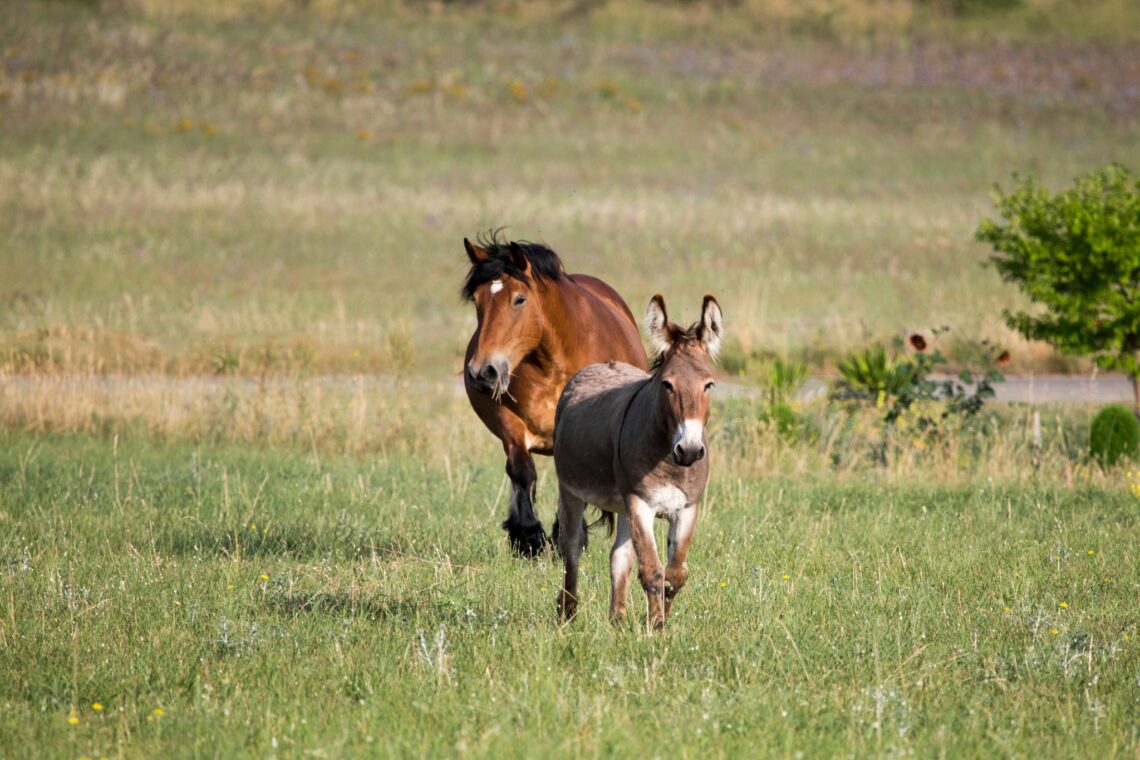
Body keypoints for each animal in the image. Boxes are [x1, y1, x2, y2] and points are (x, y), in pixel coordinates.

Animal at [461, 231, 648, 556]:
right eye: (478, 299)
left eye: (519, 299)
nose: (483, 372)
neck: (553, 364)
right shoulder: (509, 422)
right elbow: (521, 471)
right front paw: (528, 537)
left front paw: (569, 537)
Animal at [552, 294, 723, 630]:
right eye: (667, 385)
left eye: (708, 385)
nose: (689, 451)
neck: (670, 461)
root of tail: (601, 364)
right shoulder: (641, 503)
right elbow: (653, 571)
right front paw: (656, 626)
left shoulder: (687, 508)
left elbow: (675, 573)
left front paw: (662, 621)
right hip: (572, 491)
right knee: (572, 548)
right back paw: (568, 613)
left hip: (622, 506)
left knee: (619, 556)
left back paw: (617, 619)